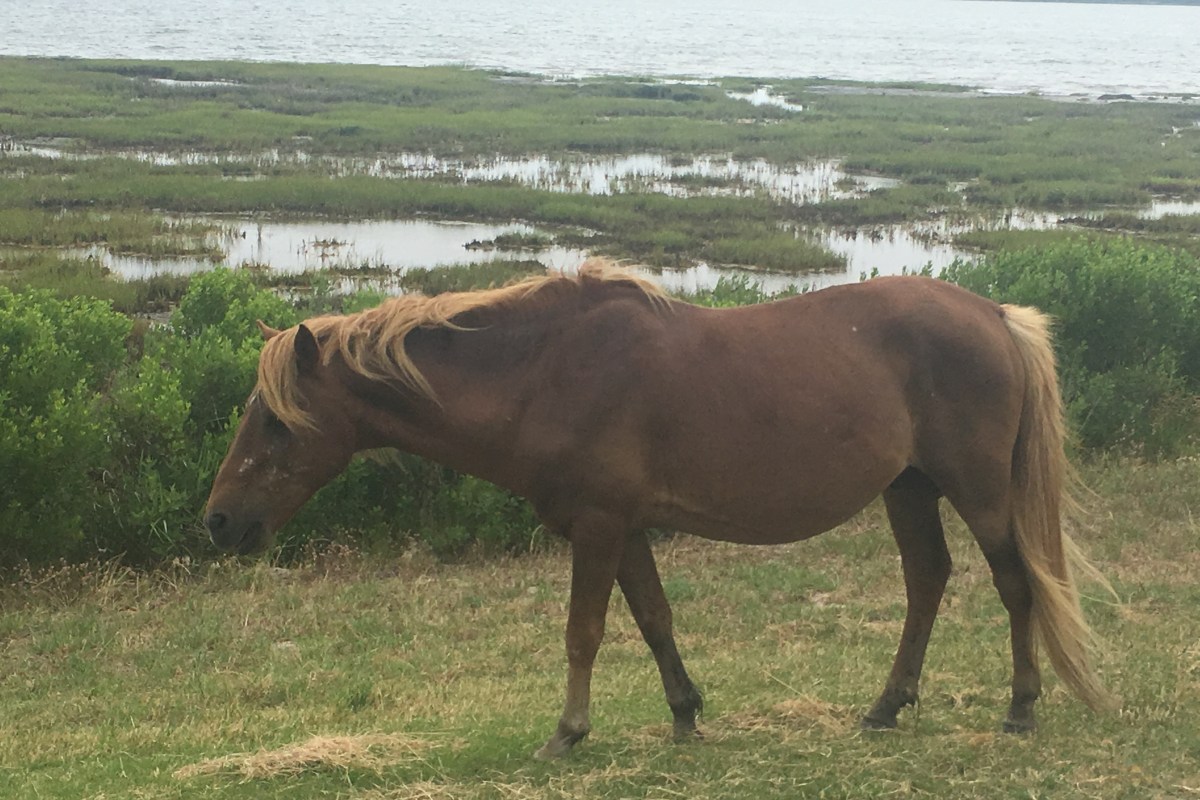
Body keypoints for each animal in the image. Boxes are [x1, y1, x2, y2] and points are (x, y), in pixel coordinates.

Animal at [204, 259, 1114, 758]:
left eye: (276, 421)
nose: (218, 522)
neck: (544, 371)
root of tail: (993, 315)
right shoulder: (625, 527)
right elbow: (653, 620)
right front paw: (684, 714)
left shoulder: (599, 527)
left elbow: (585, 631)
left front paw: (568, 732)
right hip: (910, 487)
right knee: (927, 581)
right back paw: (886, 708)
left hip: (977, 489)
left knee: (1015, 584)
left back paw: (1021, 708)